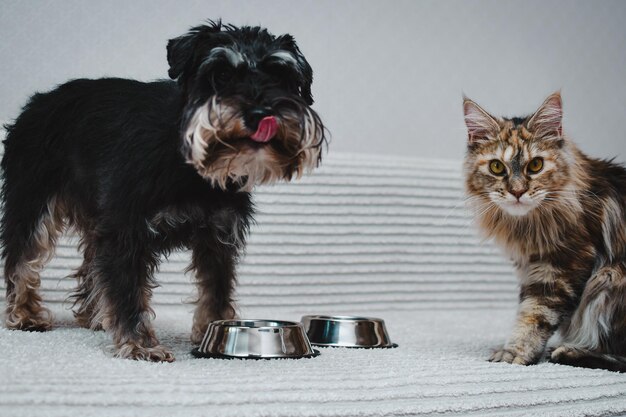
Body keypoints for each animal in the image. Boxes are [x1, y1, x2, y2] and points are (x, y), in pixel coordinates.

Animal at [2, 21, 326, 360]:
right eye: (221, 74)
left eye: (280, 76)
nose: (260, 113)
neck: (190, 163)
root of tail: (37, 102)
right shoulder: (125, 231)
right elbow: (128, 290)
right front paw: (139, 344)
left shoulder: (219, 237)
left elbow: (216, 290)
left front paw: (212, 332)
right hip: (33, 203)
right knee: (22, 258)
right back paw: (25, 315)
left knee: (90, 265)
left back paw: (95, 316)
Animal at [460, 92, 620, 372]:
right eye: (497, 167)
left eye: (535, 165)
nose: (517, 191)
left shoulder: (562, 263)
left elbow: (534, 314)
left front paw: (514, 353)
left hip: (609, 278)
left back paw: (567, 352)